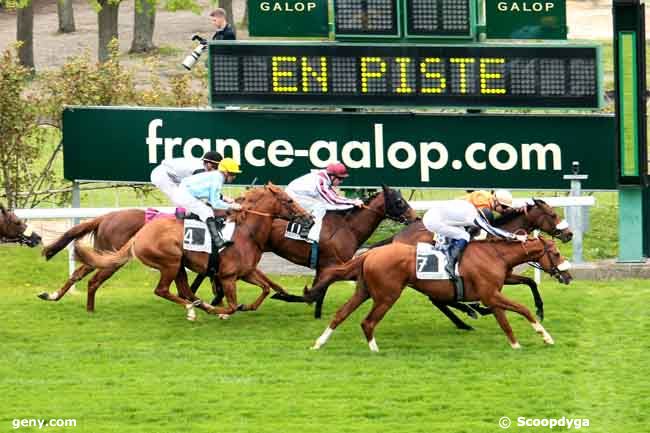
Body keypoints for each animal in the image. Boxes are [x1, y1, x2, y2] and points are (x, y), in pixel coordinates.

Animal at [73, 184, 312, 318]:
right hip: (170, 261)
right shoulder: (227, 276)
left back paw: (198, 304)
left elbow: (265, 288)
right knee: (162, 290)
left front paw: (249, 306)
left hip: (178, 265)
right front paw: (219, 311)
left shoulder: (246, 272)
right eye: (289, 200)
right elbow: (232, 306)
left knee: (183, 291)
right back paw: (193, 309)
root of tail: (140, 235)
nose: (309, 217)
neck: (246, 233)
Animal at [312, 236, 568, 352]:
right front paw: (544, 336)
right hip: (387, 295)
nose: (567, 275)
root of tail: (368, 254)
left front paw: (515, 344)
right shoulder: (491, 295)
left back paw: (319, 343)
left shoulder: (493, 294)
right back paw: (374, 349)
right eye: (555, 253)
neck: (495, 254)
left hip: (364, 291)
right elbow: (521, 310)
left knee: (340, 314)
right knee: (368, 322)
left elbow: (505, 319)